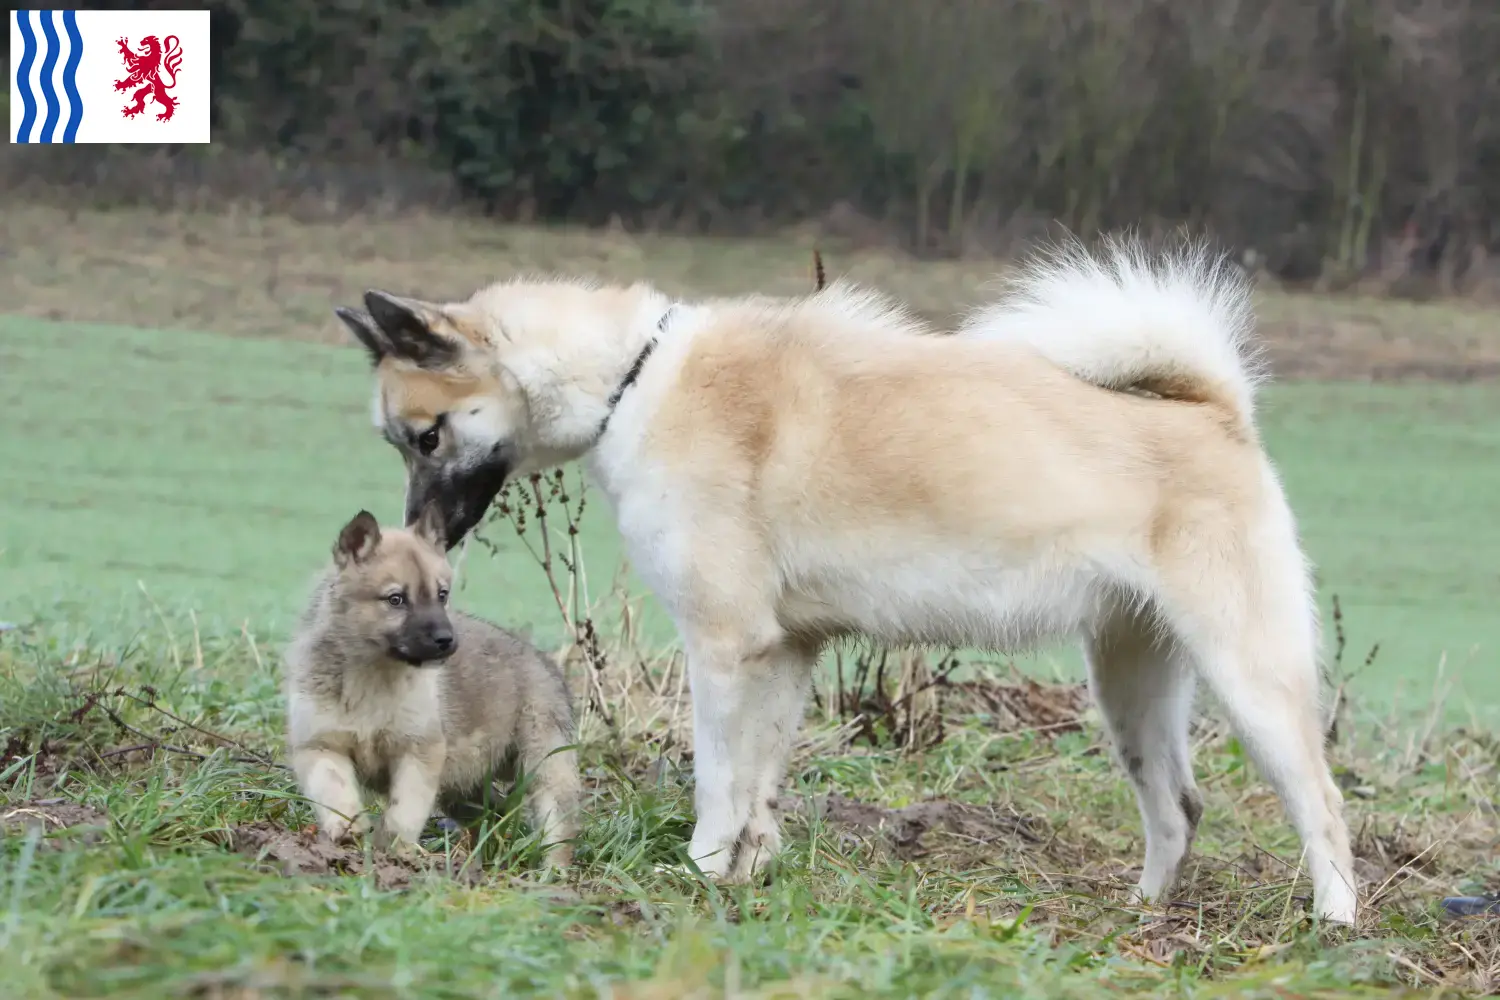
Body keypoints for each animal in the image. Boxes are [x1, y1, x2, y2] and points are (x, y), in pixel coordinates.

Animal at [337, 238, 1362, 929]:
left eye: (426, 436)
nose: (423, 538)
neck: (634, 380)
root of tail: (1216, 412)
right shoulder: (785, 655)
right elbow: (759, 787)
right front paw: (748, 875)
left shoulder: (724, 650)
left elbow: (717, 781)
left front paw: (701, 872)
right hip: (1131, 688)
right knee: (1177, 810)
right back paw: (1141, 913)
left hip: (1248, 679)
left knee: (1322, 804)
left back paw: (1335, 924)